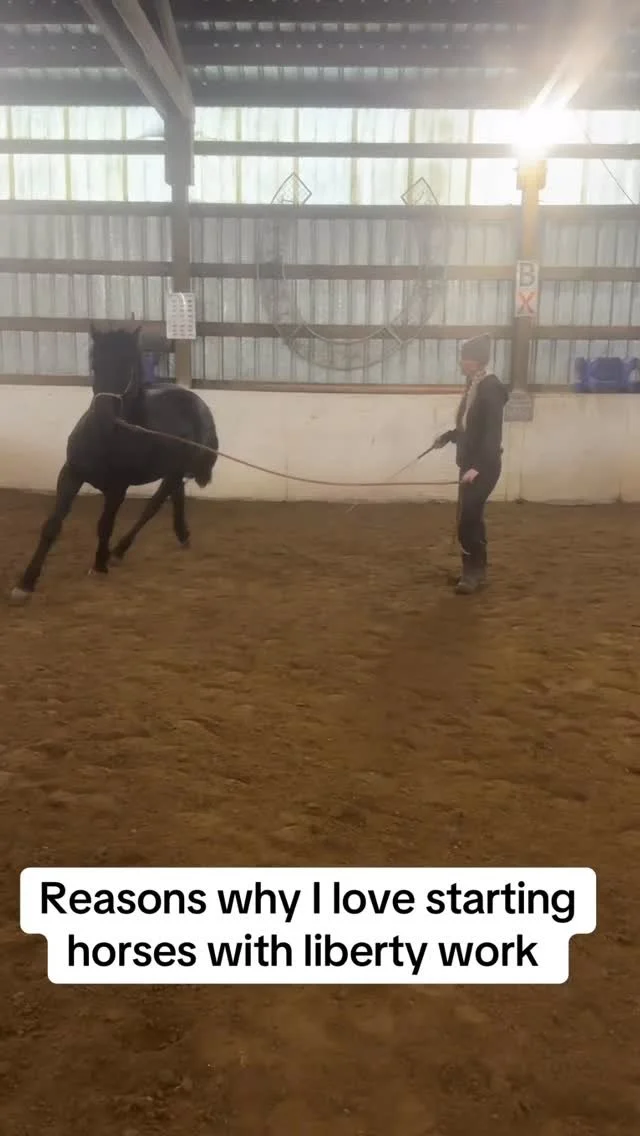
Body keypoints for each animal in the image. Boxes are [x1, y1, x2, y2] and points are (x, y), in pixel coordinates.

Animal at [10, 325, 219, 604]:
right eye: (95, 365)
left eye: (128, 366)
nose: (104, 414)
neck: (105, 438)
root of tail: (195, 400)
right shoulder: (70, 474)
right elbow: (52, 525)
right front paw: (26, 583)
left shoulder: (118, 487)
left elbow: (105, 525)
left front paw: (99, 565)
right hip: (171, 470)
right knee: (176, 496)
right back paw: (181, 535)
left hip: (174, 471)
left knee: (153, 506)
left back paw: (119, 551)